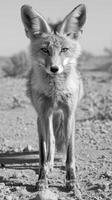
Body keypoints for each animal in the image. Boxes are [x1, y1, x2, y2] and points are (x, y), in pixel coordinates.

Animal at [20, 3, 86, 198]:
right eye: (45, 50)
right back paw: (49, 167)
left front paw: (72, 181)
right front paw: (42, 180)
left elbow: (70, 154)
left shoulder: (69, 113)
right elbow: (43, 152)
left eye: (64, 50)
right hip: (43, 117)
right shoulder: (43, 114)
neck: (56, 92)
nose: (54, 68)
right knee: (51, 142)